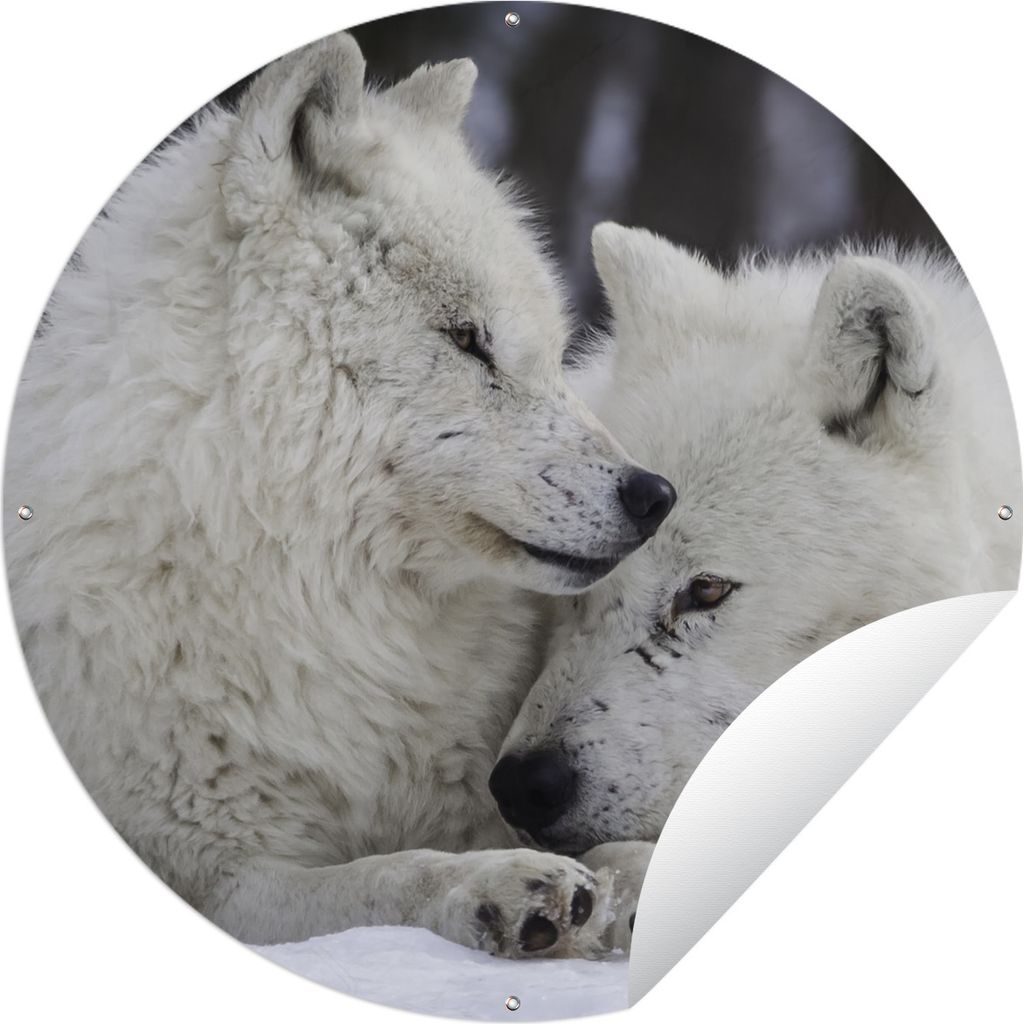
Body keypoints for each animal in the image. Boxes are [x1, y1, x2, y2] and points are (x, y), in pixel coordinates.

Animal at [3, 38, 678, 957]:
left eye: (547, 350)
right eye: (467, 339)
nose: (654, 495)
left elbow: (622, 850)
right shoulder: (217, 878)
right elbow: (384, 876)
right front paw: (494, 887)